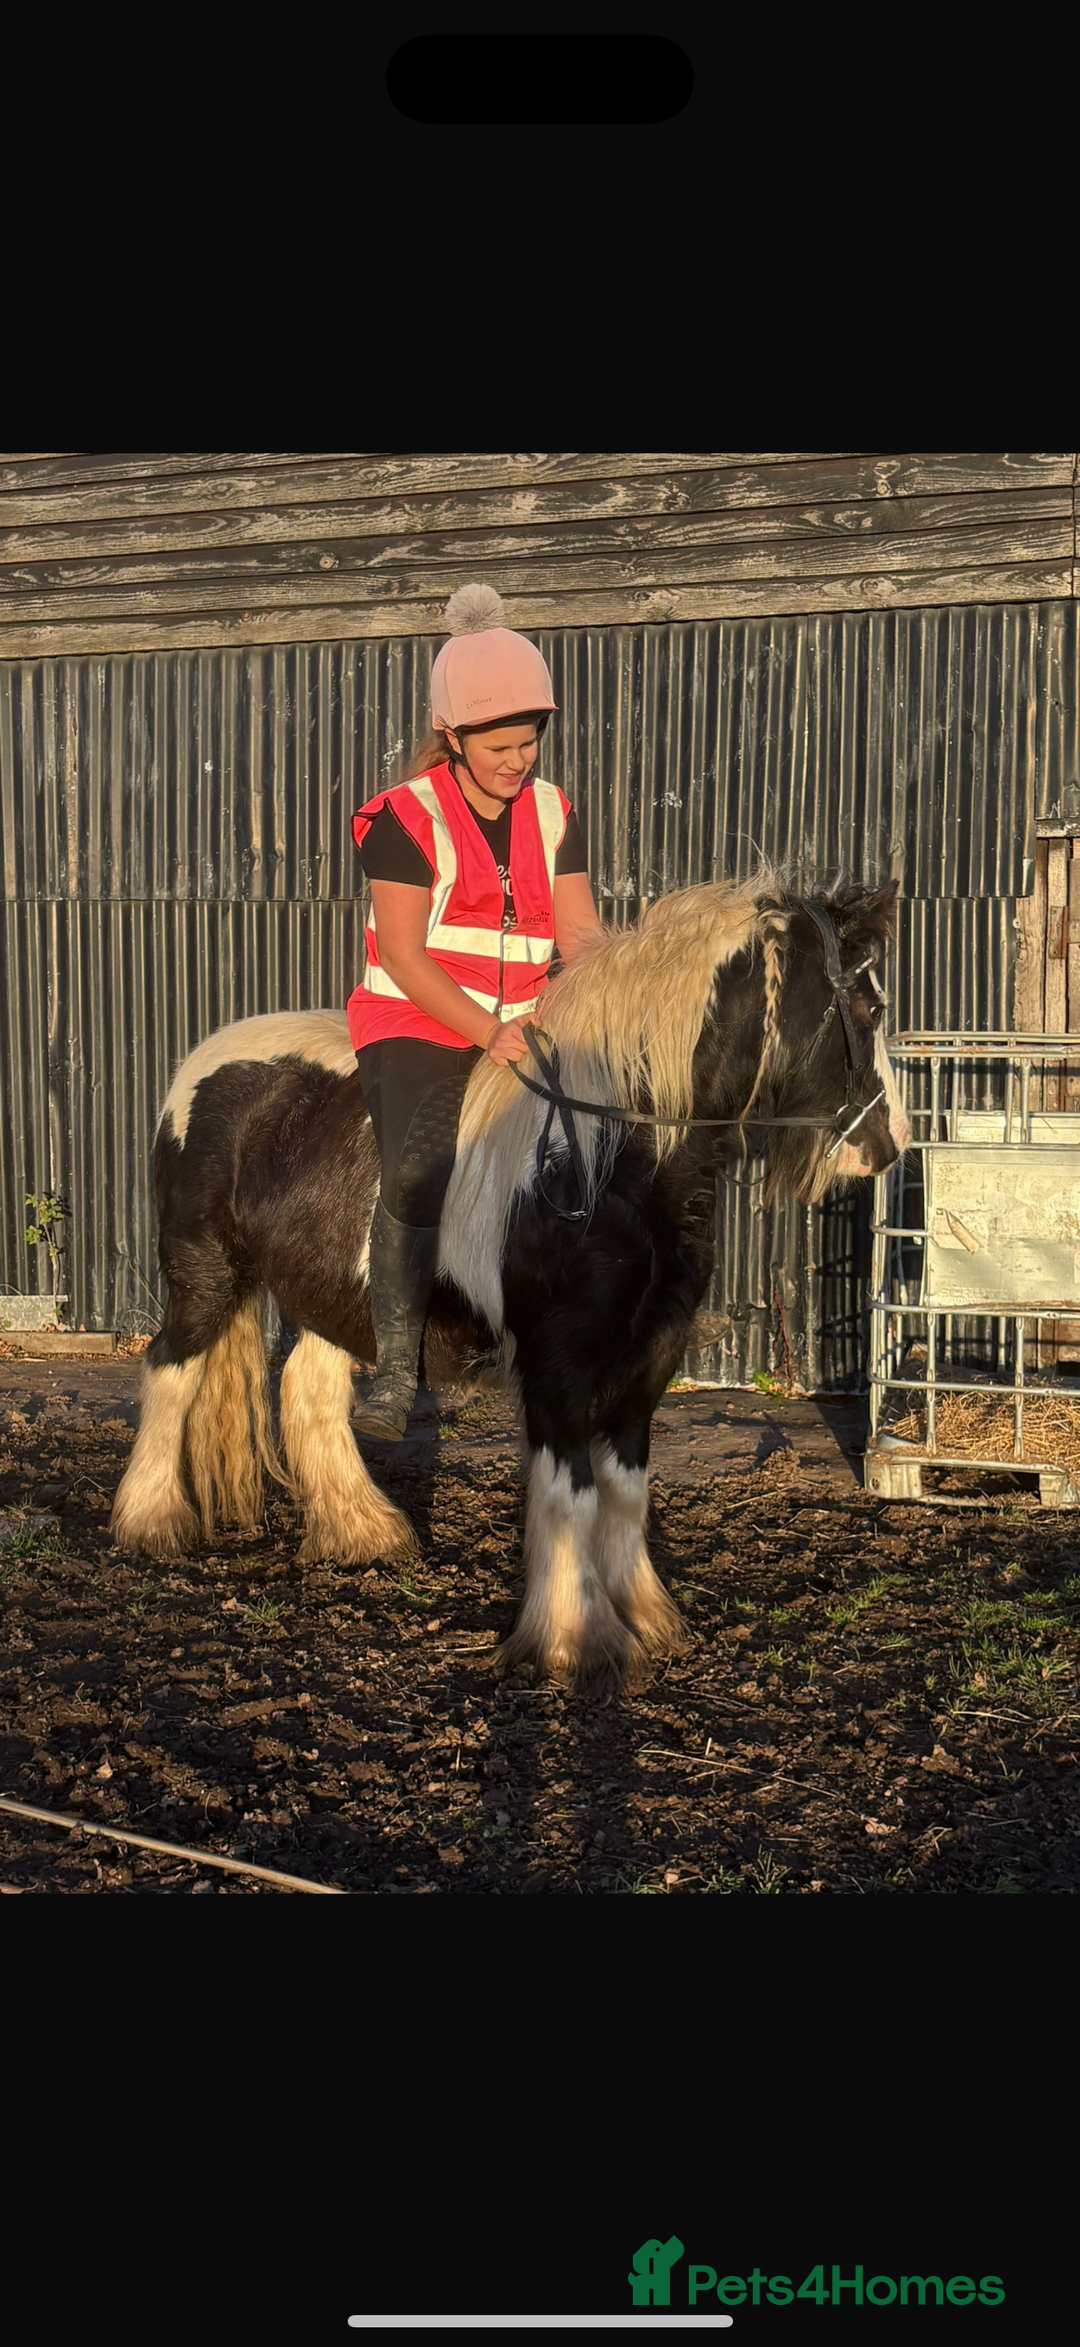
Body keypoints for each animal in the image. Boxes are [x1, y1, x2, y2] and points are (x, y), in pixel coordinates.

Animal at [110, 873, 910, 1693]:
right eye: (871, 1008)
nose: (891, 1146)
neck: (607, 1154)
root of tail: (199, 1064)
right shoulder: (558, 1364)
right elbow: (570, 1492)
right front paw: (576, 1639)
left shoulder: (650, 1355)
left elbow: (626, 1489)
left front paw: (649, 1620)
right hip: (204, 1271)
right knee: (170, 1368)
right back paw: (150, 1522)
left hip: (331, 1293)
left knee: (307, 1388)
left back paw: (363, 1531)